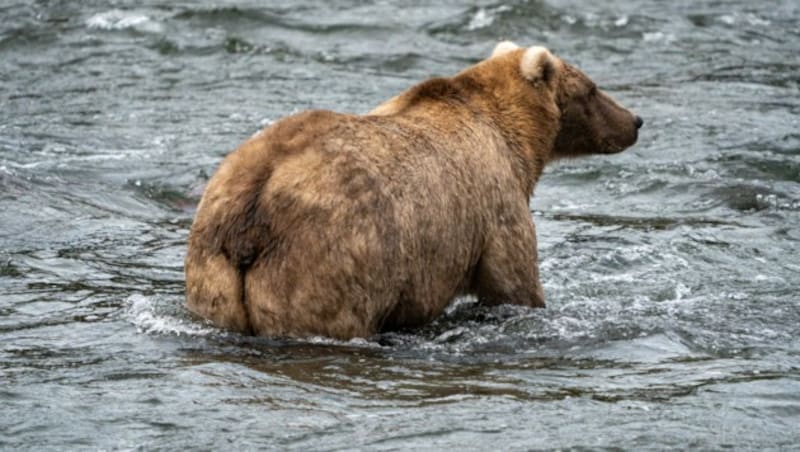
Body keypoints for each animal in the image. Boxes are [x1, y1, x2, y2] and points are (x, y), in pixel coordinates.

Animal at [184, 41, 640, 340]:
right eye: (592, 88)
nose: (634, 121)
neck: (518, 140)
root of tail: (252, 206)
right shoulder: (496, 209)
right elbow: (514, 285)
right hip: (326, 262)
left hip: (211, 272)